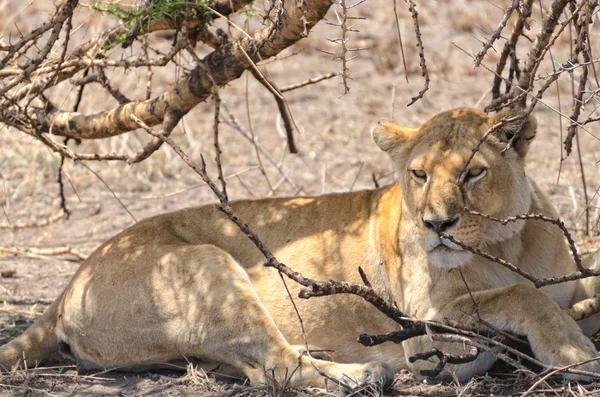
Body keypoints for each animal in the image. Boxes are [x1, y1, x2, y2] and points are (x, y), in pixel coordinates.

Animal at [1, 107, 600, 386]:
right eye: (419, 175)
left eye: (473, 173)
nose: (436, 224)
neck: (507, 243)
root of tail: (67, 285)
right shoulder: (427, 330)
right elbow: (519, 297)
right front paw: (573, 353)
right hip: (207, 263)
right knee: (274, 367)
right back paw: (362, 376)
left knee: (253, 365)